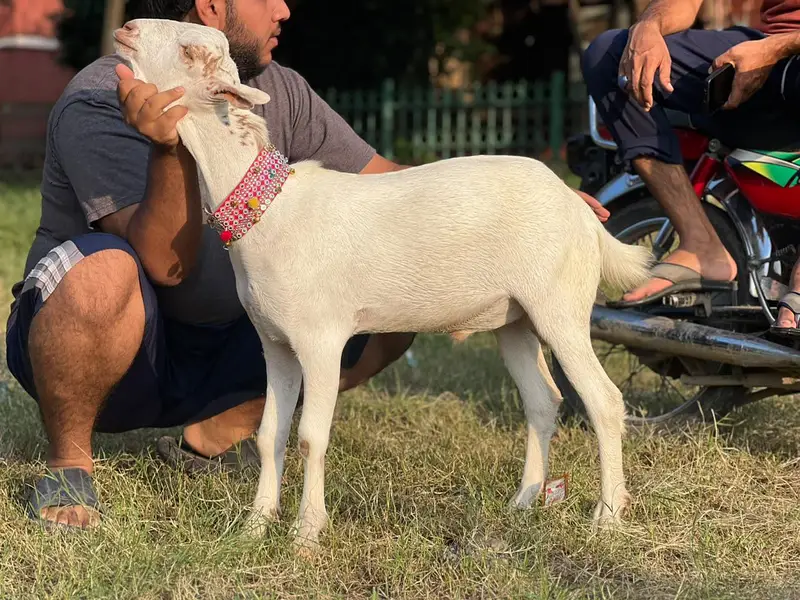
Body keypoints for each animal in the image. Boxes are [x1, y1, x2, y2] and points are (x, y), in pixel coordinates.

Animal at [115, 18, 651, 551]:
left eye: (190, 51)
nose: (127, 29)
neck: (271, 210)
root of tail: (582, 209)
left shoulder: (321, 338)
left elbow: (311, 435)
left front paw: (306, 534)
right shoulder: (275, 341)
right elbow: (270, 435)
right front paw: (255, 525)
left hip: (560, 304)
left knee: (603, 401)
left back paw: (607, 517)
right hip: (514, 318)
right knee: (543, 401)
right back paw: (523, 502)